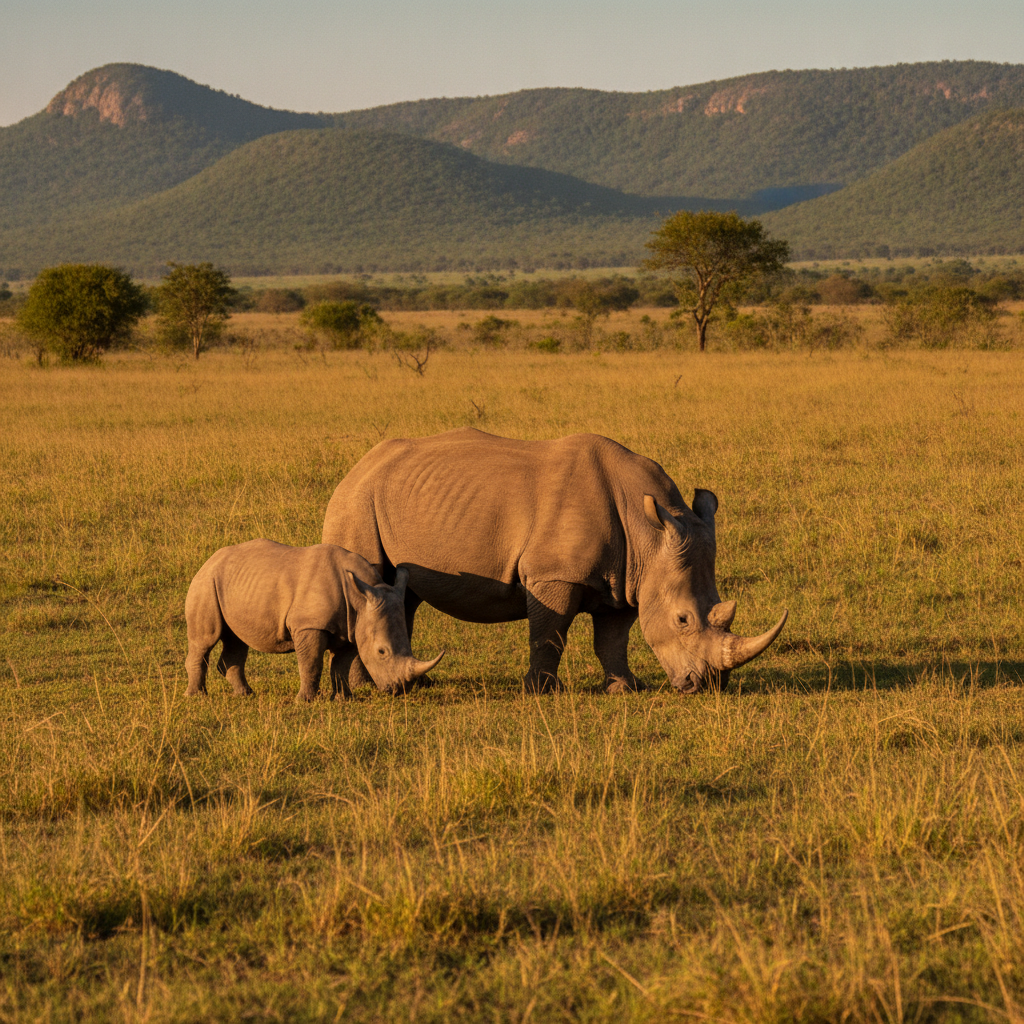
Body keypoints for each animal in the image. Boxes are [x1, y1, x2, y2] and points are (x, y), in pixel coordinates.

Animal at [184, 539, 443, 699]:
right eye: (381, 652)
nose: (399, 690)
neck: (359, 596)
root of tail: (208, 560)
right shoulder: (308, 625)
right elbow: (311, 662)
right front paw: (306, 700)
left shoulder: (352, 626)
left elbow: (341, 664)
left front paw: (343, 699)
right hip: (205, 583)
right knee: (206, 639)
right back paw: (197, 696)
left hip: (232, 584)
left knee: (236, 639)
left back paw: (245, 694)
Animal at [322, 429, 786, 693]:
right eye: (683, 620)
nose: (707, 685)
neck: (648, 533)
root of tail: (358, 465)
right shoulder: (554, 575)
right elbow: (550, 634)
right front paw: (541, 691)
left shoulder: (626, 581)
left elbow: (612, 639)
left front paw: (625, 688)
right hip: (356, 502)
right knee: (371, 583)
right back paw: (373, 687)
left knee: (403, 594)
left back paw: (414, 683)